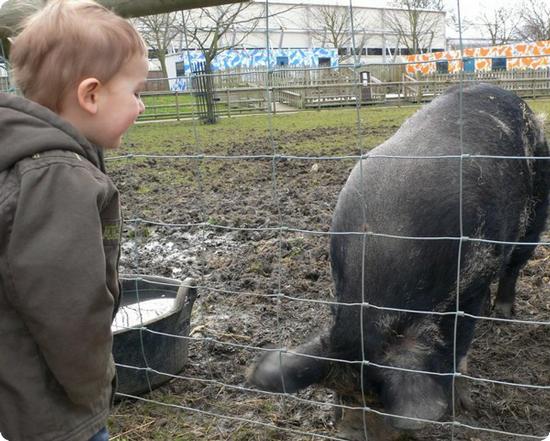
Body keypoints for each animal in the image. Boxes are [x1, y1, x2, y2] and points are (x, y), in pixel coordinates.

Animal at [250, 84, 550, 438]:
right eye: (339, 393)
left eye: (378, 401)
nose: (350, 434)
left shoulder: (470, 284)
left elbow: (459, 345)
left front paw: (463, 407)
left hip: (536, 211)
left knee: (514, 266)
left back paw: (502, 315)